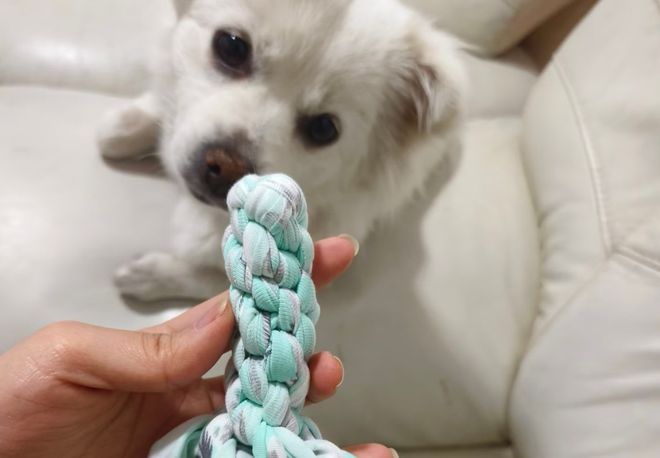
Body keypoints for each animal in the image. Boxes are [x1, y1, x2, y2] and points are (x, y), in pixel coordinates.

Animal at [97, 0, 466, 301]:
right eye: (231, 46)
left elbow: (210, 280)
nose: (226, 166)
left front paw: (148, 275)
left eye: (323, 129)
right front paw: (125, 126)